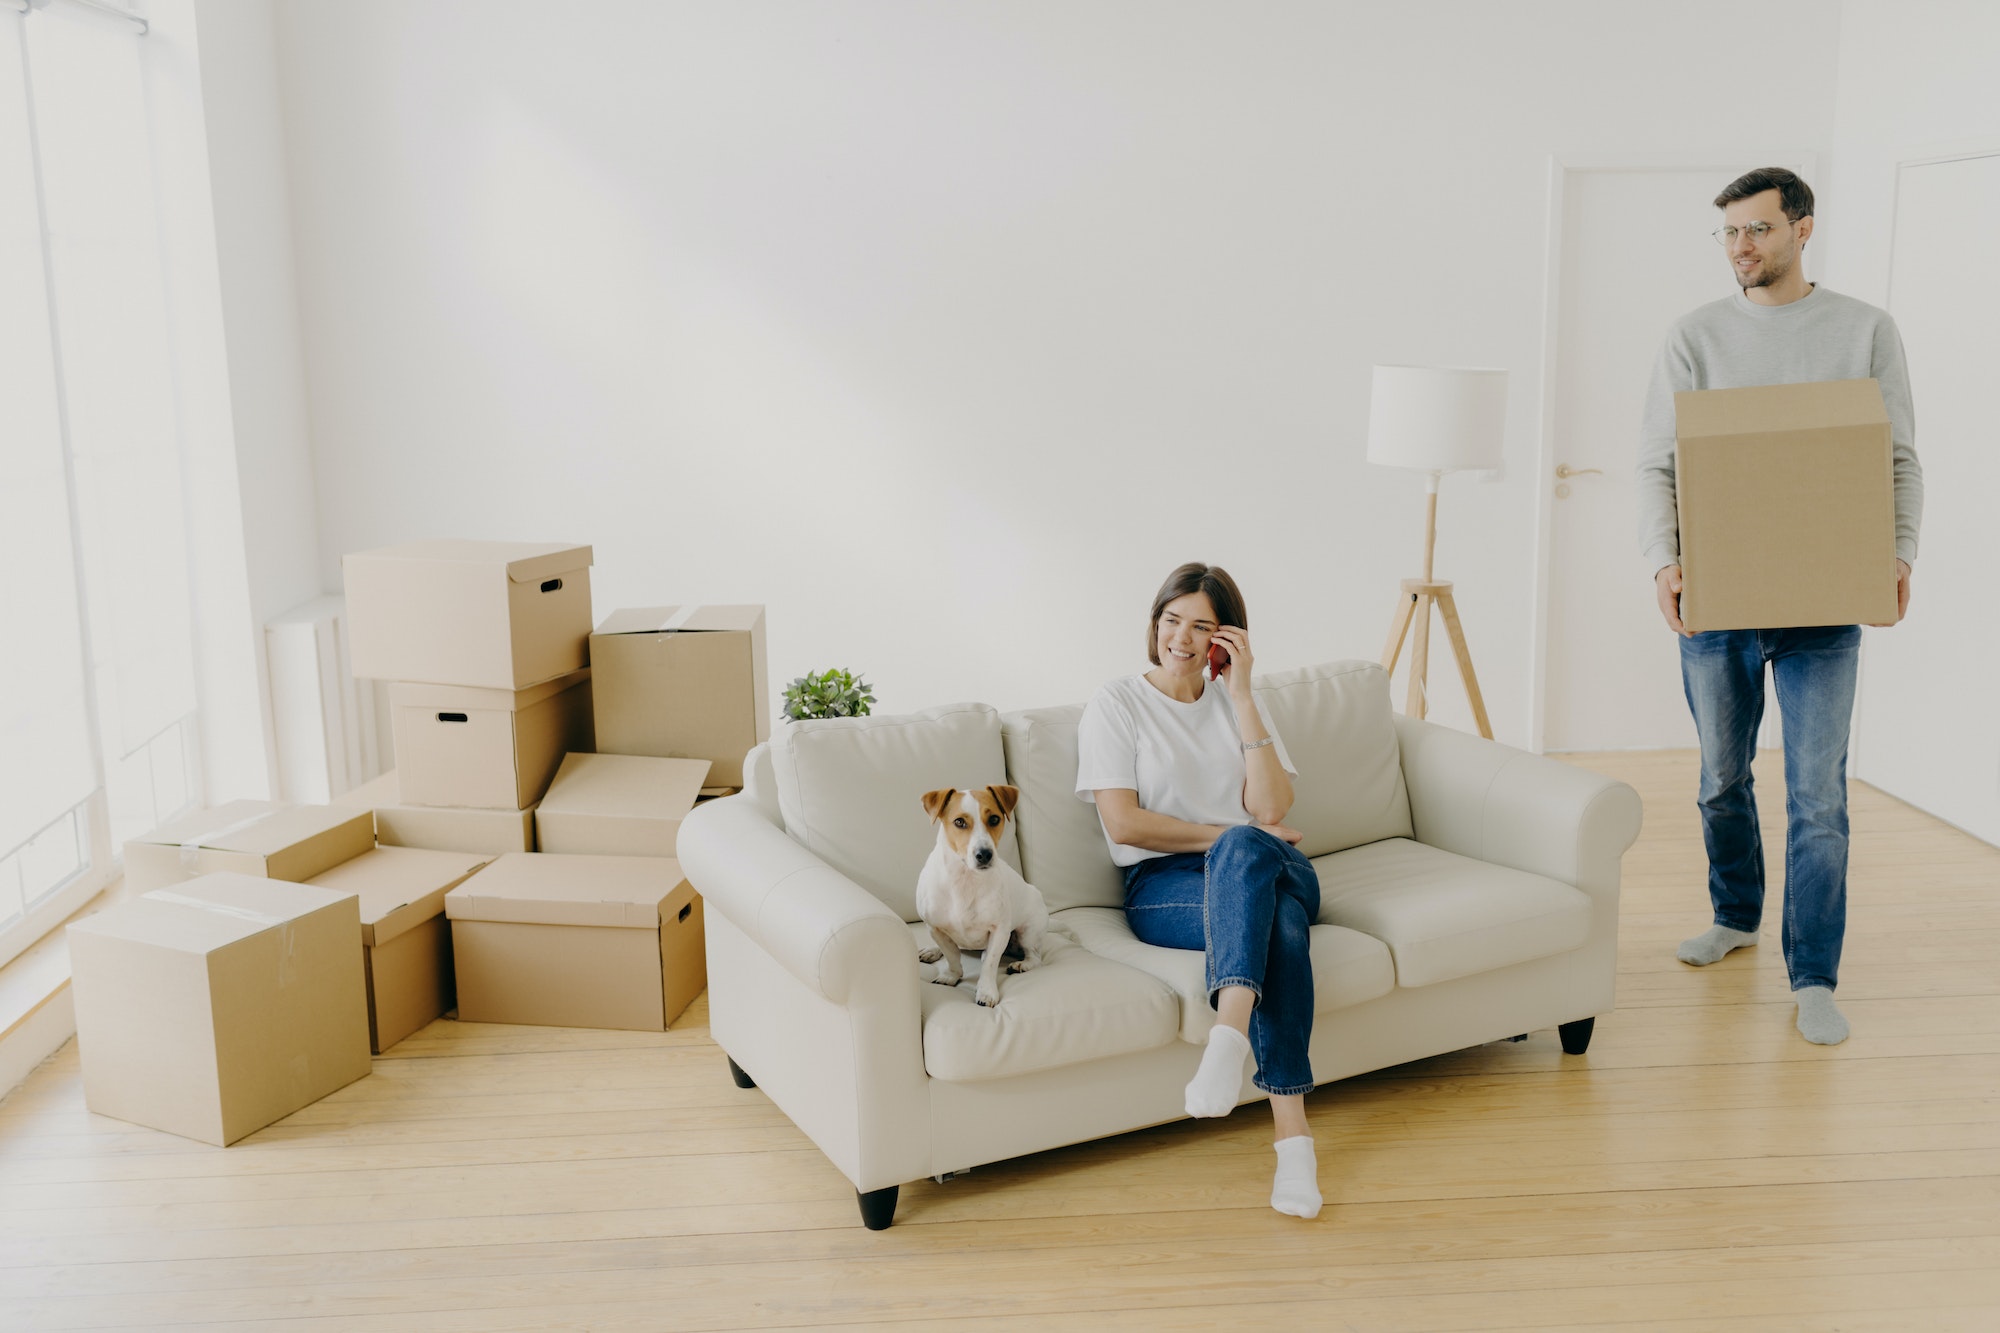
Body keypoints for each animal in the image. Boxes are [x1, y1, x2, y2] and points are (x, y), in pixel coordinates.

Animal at [916, 784, 1056, 1000]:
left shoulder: (999, 930)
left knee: (1035, 957)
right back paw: (933, 950)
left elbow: (990, 963)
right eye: (959, 822)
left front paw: (986, 991)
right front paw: (951, 975)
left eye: (994, 819)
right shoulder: (934, 928)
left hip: (1028, 933)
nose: (985, 854)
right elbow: (951, 955)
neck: (965, 879)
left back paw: (1022, 964)